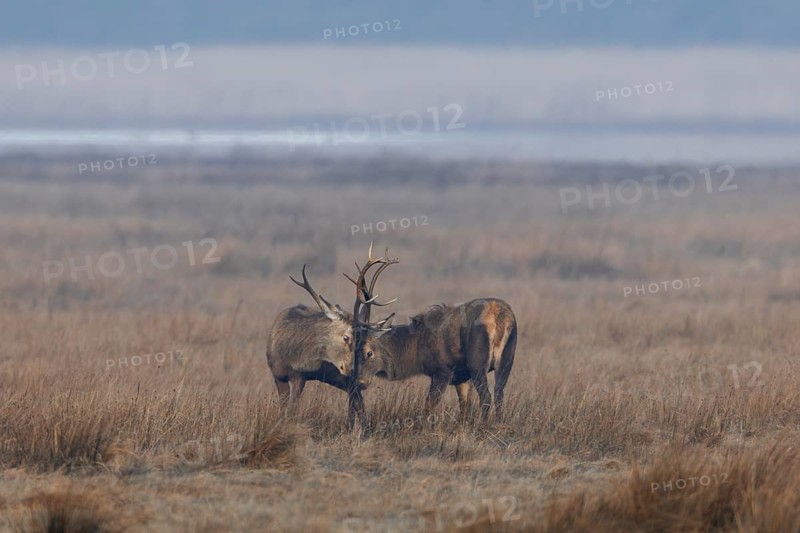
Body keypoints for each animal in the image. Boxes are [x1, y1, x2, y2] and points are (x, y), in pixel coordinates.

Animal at [351, 262, 517, 421]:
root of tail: (501, 318)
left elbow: (428, 407)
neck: (417, 350)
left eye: (369, 352)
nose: (359, 382)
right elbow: (465, 408)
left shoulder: (442, 370)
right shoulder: (462, 377)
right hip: (507, 360)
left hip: (477, 363)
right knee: (499, 395)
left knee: (487, 398)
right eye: (354, 351)